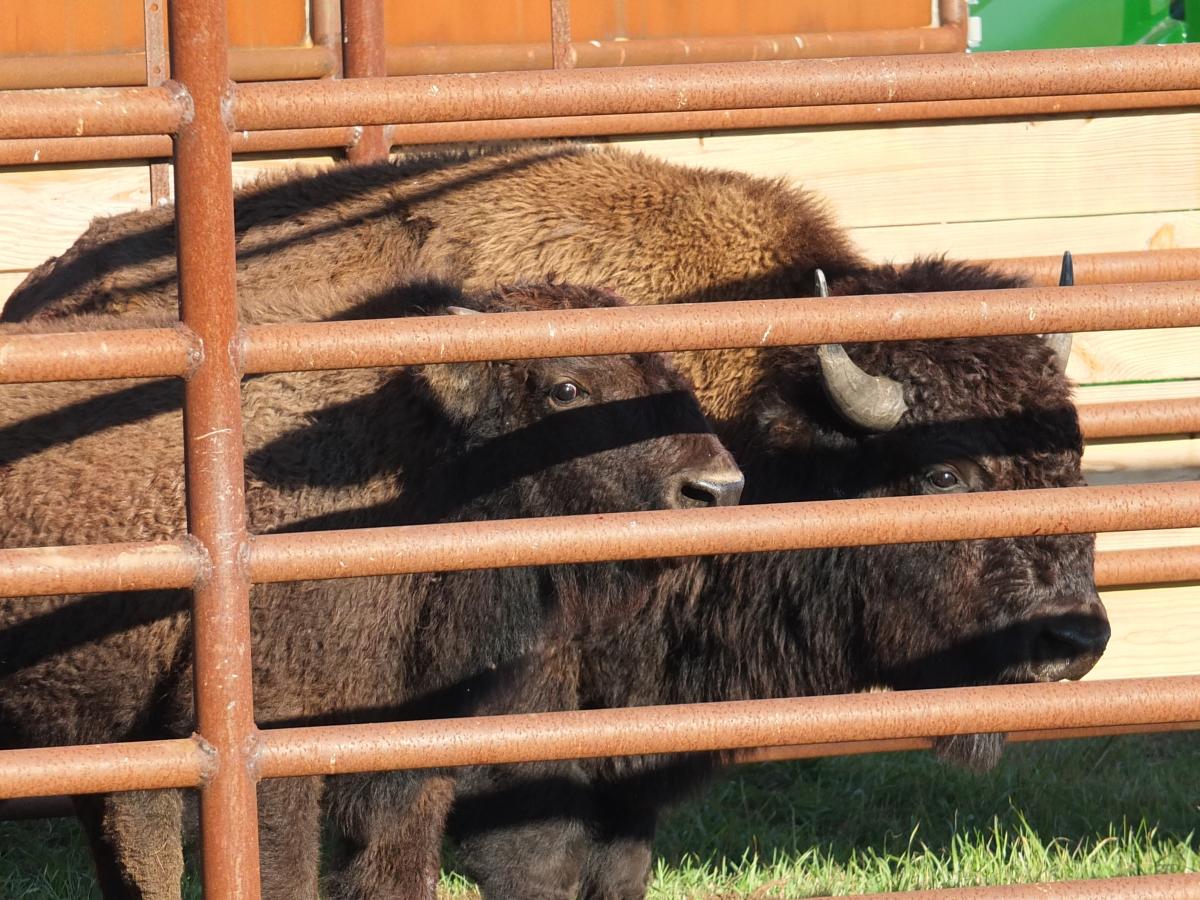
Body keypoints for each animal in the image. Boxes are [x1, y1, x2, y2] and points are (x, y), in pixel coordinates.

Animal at [0, 278, 744, 897]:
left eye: (669, 370)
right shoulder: (277, 752)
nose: (717, 488)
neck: (413, 460)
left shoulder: (406, 748)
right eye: (565, 388)